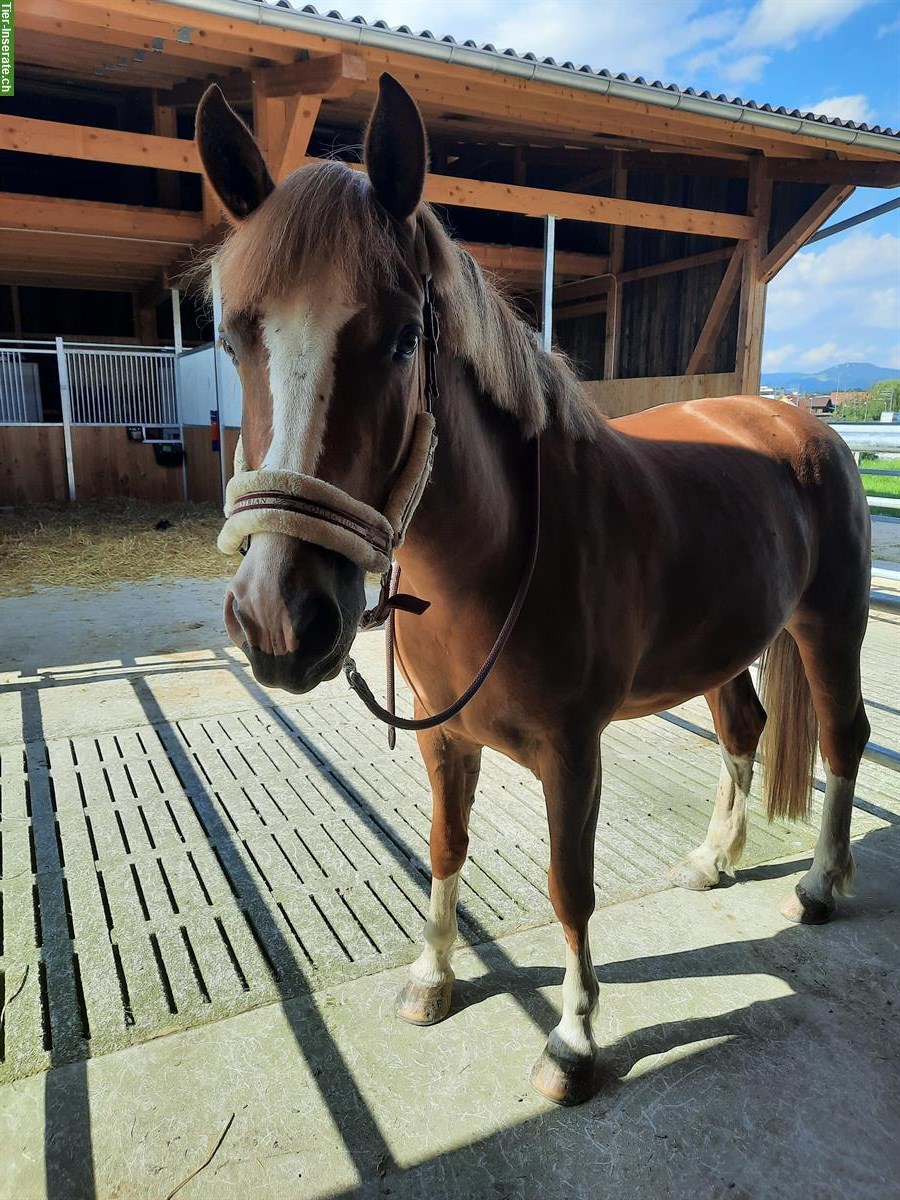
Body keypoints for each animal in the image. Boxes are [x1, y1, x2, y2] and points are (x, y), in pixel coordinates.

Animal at [196, 75, 873, 1104]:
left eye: (404, 339)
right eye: (233, 336)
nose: (280, 619)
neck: (495, 557)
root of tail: (805, 424)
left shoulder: (573, 753)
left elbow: (569, 886)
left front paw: (574, 1039)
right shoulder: (444, 742)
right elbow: (444, 848)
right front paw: (432, 976)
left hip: (828, 627)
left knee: (843, 739)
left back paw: (821, 884)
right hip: (728, 645)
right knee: (745, 732)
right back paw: (715, 860)